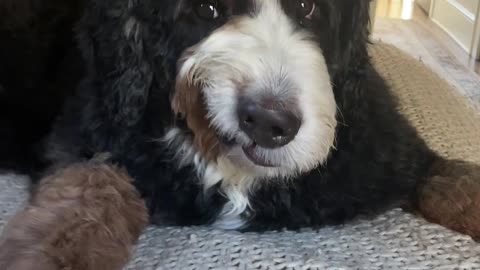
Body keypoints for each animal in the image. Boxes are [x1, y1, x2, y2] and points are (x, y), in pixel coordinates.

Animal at [0, 0, 480, 268]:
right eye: (207, 10)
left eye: (308, 8)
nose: (269, 122)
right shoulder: (87, 135)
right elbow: (87, 193)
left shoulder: (388, 154)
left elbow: (453, 179)